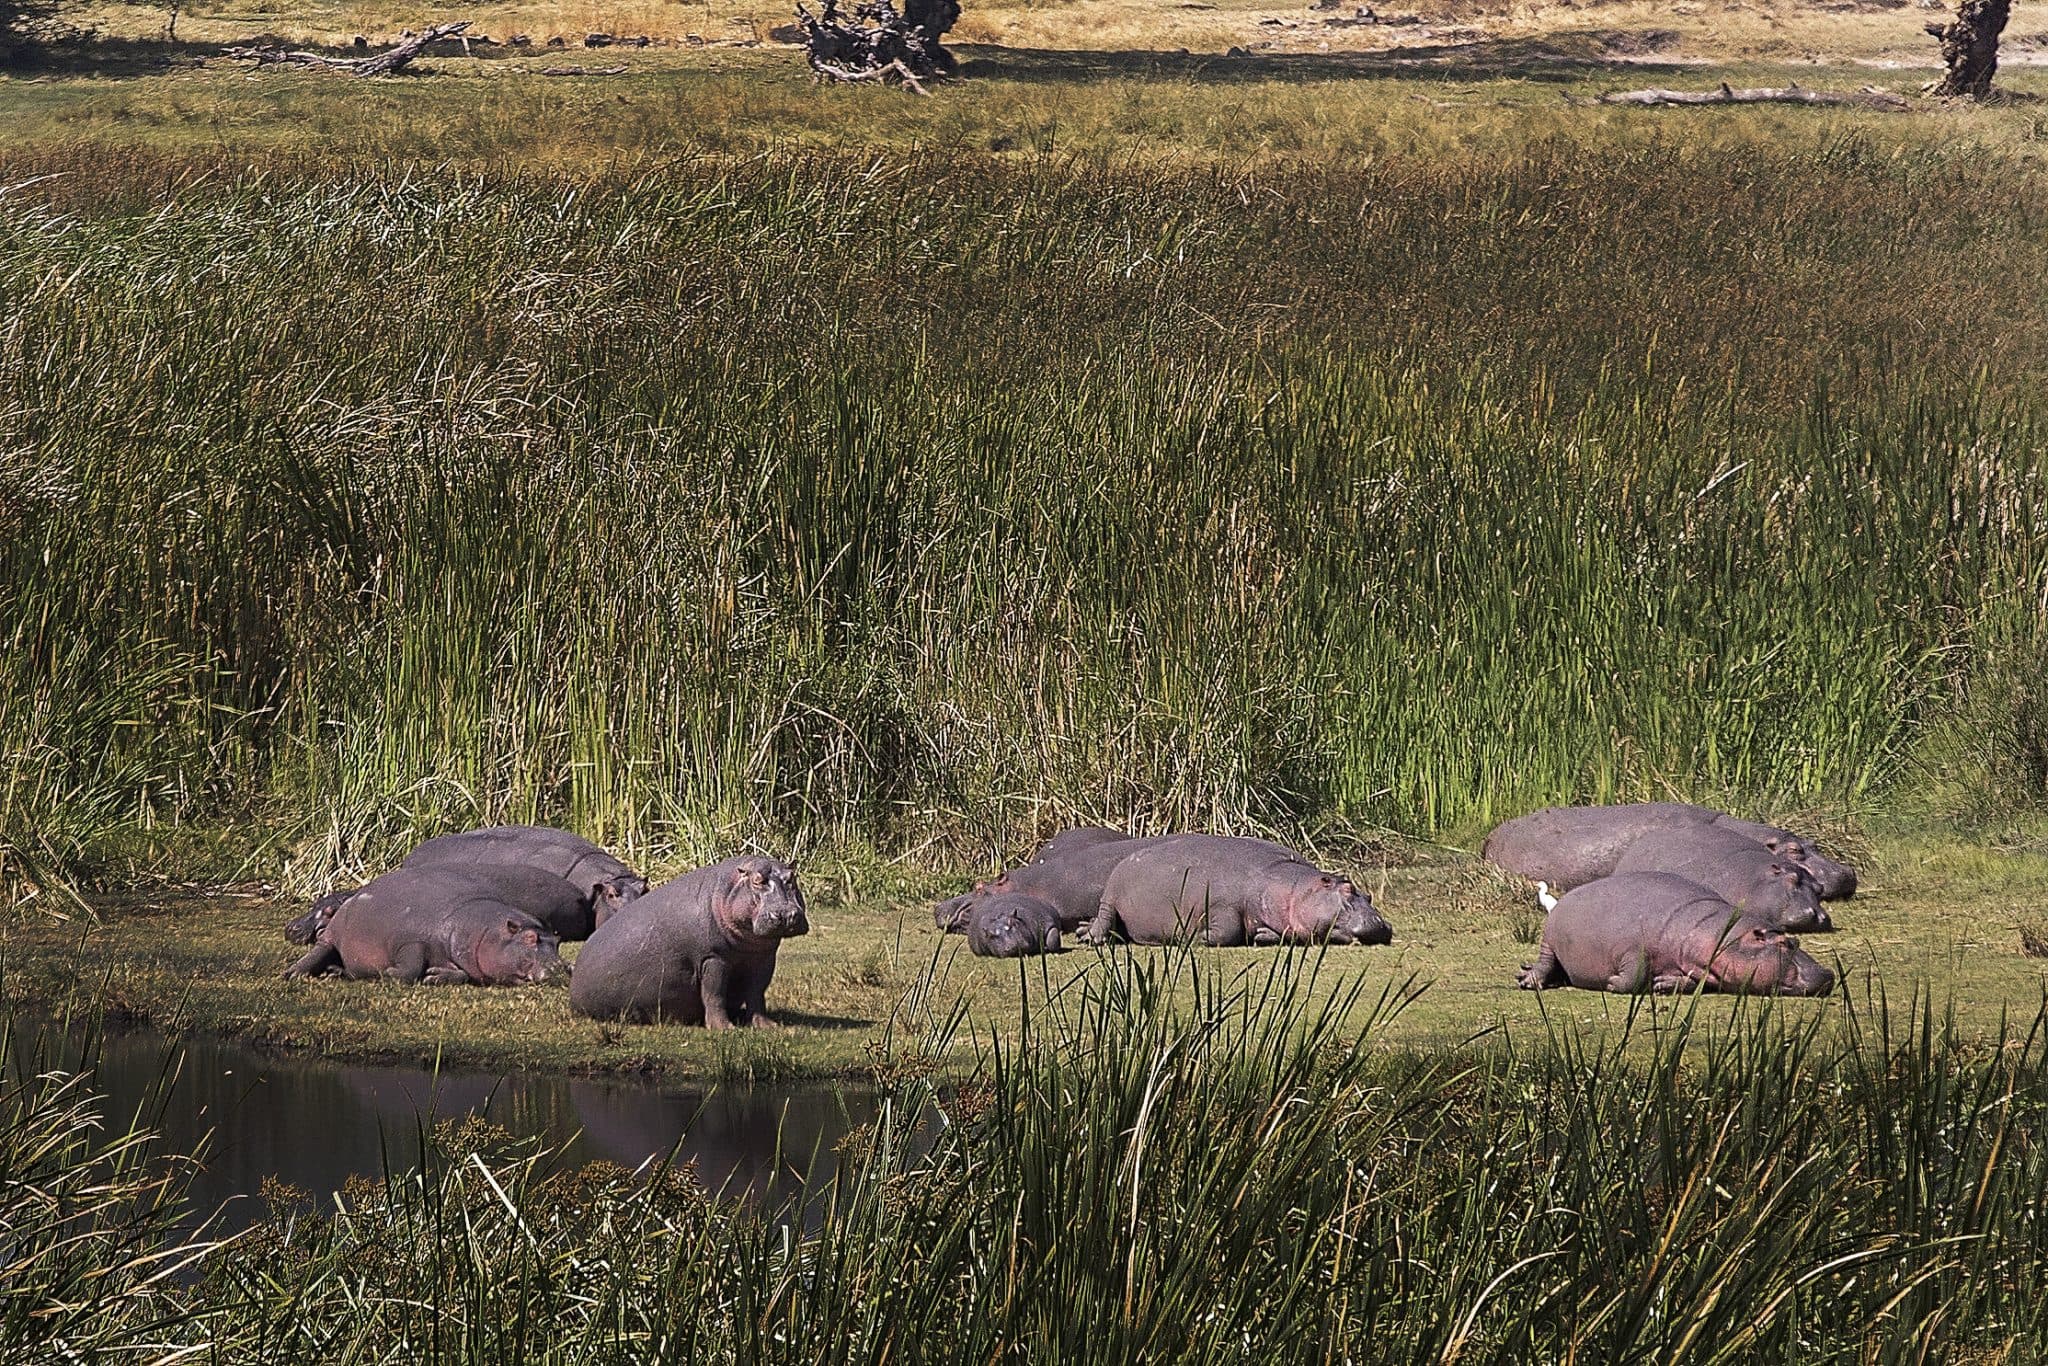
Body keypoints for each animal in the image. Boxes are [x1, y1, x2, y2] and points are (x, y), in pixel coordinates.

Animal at [282, 867, 566, 986]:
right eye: (530, 938)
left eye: (557, 940)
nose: (562, 969)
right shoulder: (410, 941)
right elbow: (409, 968)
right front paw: (389, 972)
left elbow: (462, 974)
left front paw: (434, 976)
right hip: (331, 937)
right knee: (317, 952)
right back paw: (292, 974)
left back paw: (334, 972)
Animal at [570, 856, 809, 1028]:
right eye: (757, 880)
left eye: (792, 877)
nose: (786, 914)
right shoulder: (712, 958)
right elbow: (714, 994)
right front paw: (725, 1029)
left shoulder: (763, 959)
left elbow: (757, 994)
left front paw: (770, 1027)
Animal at [1087, 834, 1392, 947]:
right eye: (1348, 889)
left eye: (1369, 896)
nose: (1380, 924)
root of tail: (1129, 856)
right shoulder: (1220, 907)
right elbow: (1227, 931)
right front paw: (1194, 938)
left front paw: (1262, 935)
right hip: (1110, 898)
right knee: (1104, 919)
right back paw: (1089, 936)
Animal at [1517, 872, 1835, 996]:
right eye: (1785, 943)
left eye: (1795, 940)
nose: (1829, 974)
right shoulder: (1634, 948)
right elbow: (1632, 976)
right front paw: (1610, 983)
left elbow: (1692, 983)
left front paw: (1663, 984)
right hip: (1549, 941)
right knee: (1546, 962)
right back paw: (1528, 980)